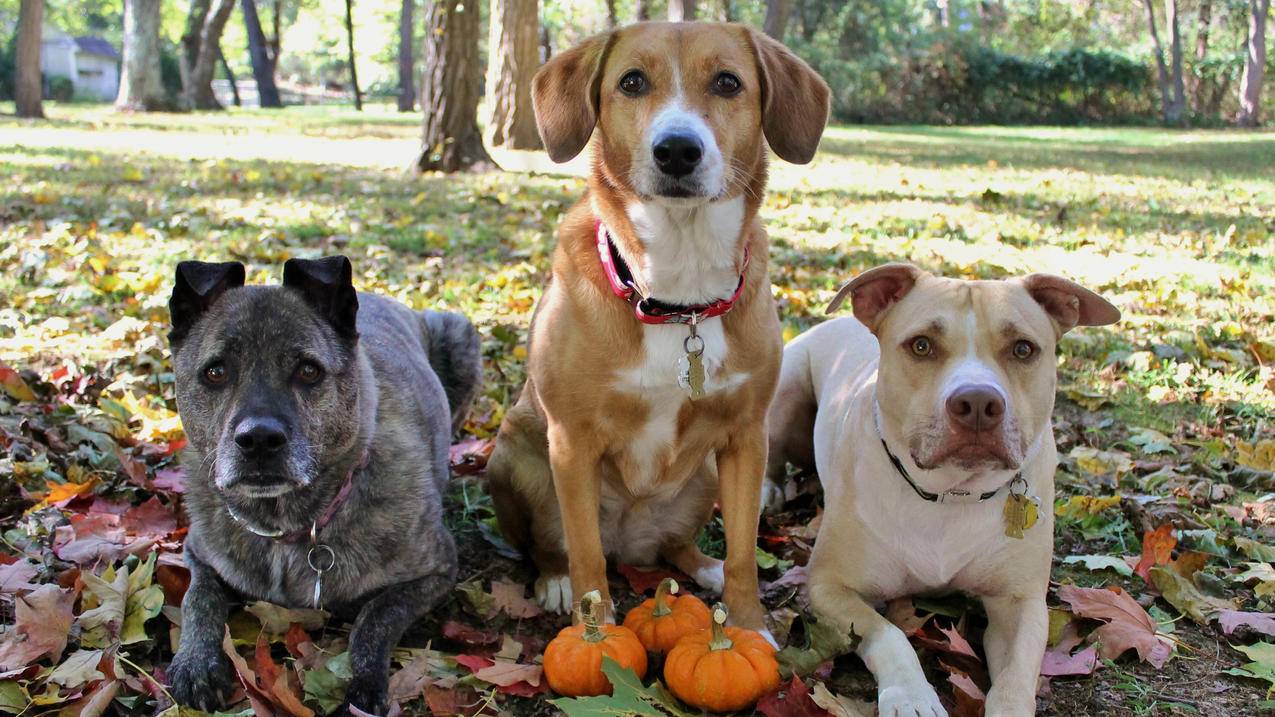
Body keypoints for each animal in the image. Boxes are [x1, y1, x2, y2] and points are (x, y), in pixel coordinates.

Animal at [167, 256, 479, 714]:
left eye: (308, 370)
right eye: (216, 372)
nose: (259, 440)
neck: (284, 524)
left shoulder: (437, 571)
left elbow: (376, 615)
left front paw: (365, 681)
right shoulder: (196, 553)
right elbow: (198, 597)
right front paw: (195, 662)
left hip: (461, 335)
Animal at [484, 19, 826, 630]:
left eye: (728, 82)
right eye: (632, 81)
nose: (677, 150)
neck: (678, 295)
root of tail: (631, 542)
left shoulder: (747, 437)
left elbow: (744, 550)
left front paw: (748, 625)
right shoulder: (571, 442)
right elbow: (586, 554)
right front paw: (594, 633)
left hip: (706, 476)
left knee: (676, 546)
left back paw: (704, 567)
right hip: (515, 457)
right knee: (559, 547)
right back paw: (555, 580)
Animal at [765, 265, 1116, 709]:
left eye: (1023, 349)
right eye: (921, 345)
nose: (979, 403)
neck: (951, 493)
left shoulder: (1021, 603)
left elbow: (1016, 676)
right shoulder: (829, 586)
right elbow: (889, 634)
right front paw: (910, 695)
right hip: (785, 395)